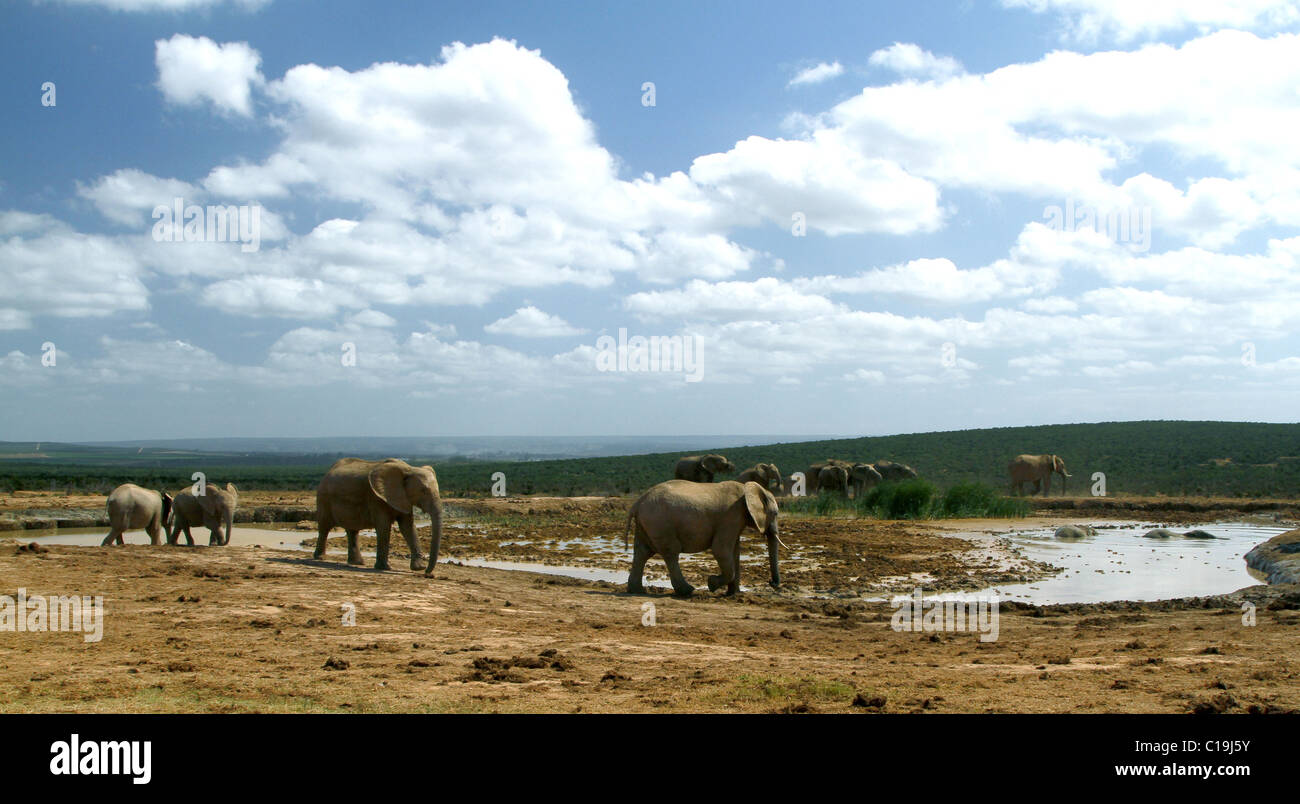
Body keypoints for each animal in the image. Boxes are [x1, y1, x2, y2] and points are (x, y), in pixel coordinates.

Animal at [312, 452, 444, 572]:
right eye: (423, 491)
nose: (427, 572)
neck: (409, 469)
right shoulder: (376, 498)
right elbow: (384, 527)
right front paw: (384, 568)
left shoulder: (403, 498)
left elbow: (408, 527)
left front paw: (418, 568)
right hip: (323, 498)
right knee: (324, 527)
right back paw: (320, 558)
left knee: (352, 530)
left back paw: (358, 563)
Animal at [621, 476, 774, 595]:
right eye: (774, 513)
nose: (772, 582)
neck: (747, 489)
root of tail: (637, 502)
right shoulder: (731, 516)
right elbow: (720, 549)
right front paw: (711, 584)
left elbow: (734, 552)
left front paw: (734, 594)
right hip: (659, 522)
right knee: (670, 552)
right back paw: (687, 591)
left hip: (646, 523)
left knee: (642, 552)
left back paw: (637, 591)